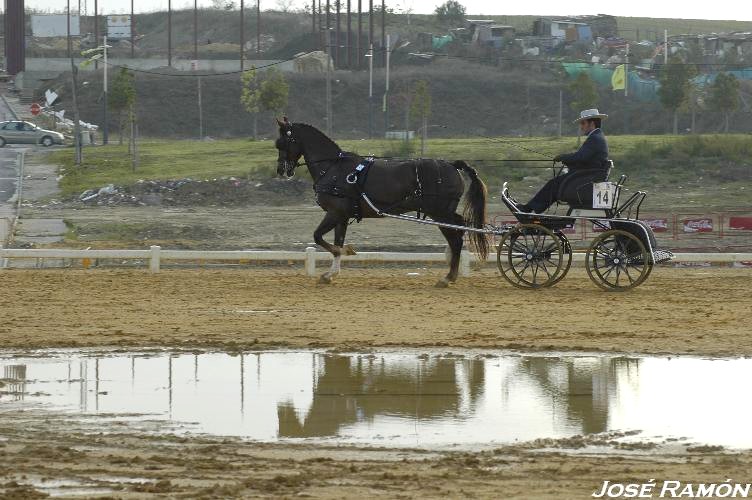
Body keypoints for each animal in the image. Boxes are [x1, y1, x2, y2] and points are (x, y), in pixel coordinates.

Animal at [274, 117, 490, 288]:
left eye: (282, 143)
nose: (281, 170)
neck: (334, 168)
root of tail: (452, 165)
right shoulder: (342, 216)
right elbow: (336, 241)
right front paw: (330, 274)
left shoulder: (334, 213)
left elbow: (319, 237)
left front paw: (345, 252)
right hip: (445, 212)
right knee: (459, 230)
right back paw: (451, 272)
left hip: (439, 213)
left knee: (456, 239)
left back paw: (448, 277)